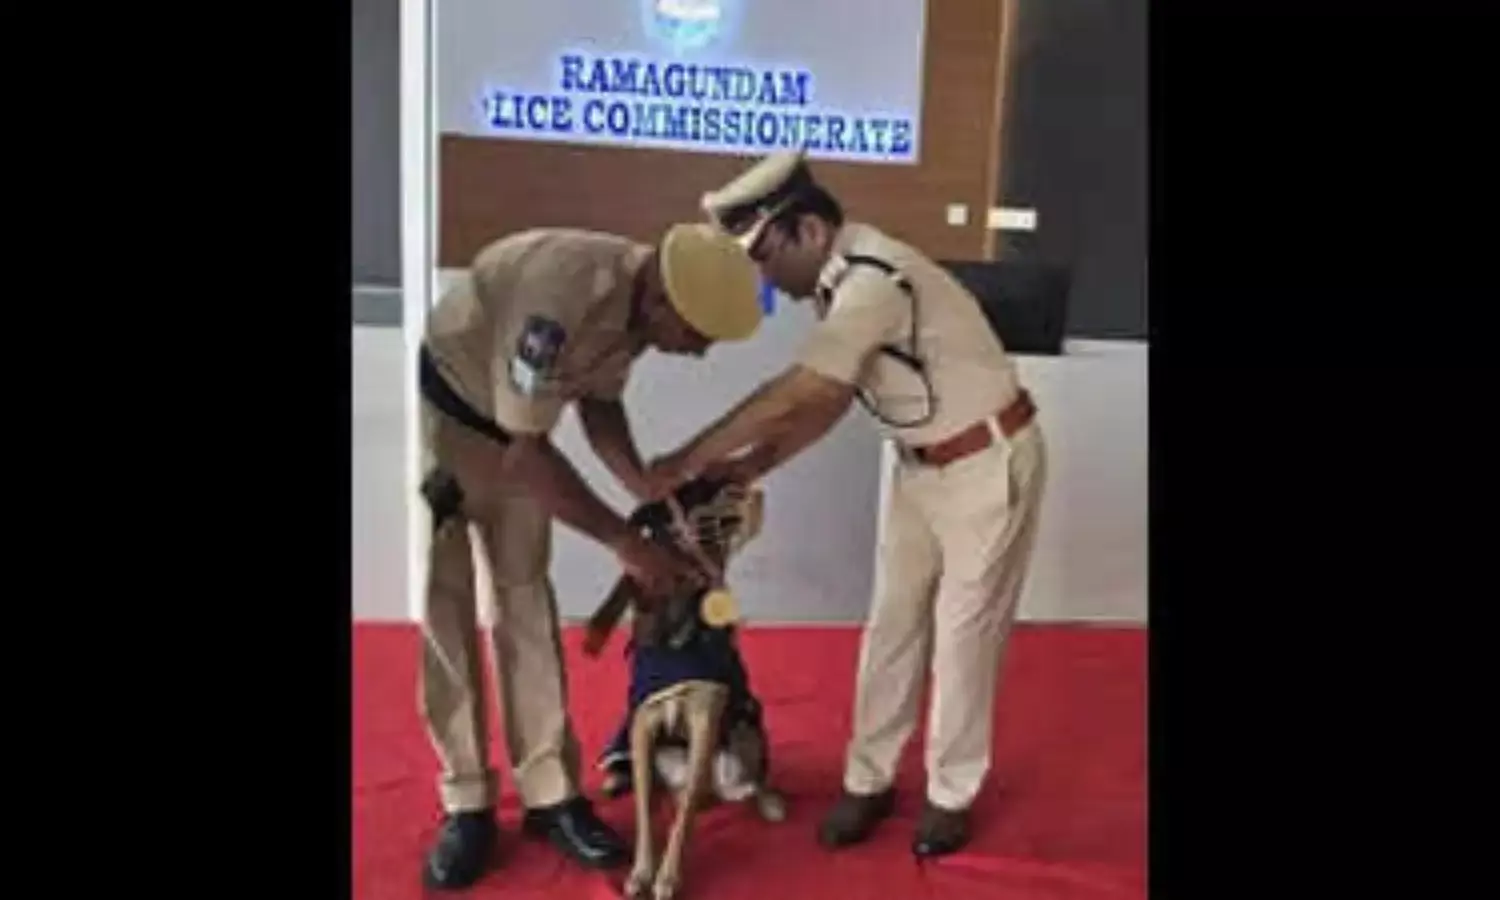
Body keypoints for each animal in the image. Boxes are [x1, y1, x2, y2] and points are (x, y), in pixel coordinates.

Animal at [582, 476, 786, 900]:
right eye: (694, 491)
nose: (750, 488)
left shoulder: (705, 717)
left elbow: (687, 808)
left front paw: (668, 876)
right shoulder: (642, 723)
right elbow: (645, 806)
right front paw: (642, 870)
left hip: (750, 722)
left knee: (742, 781)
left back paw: (766, 801)